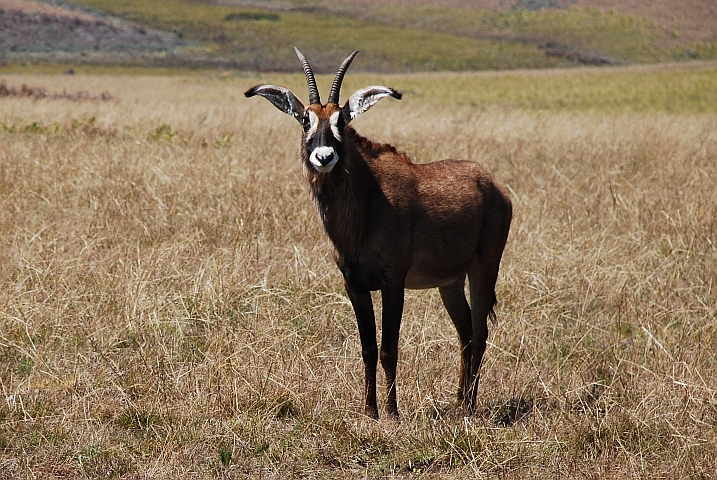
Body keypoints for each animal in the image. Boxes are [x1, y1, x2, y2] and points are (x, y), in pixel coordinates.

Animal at [243, 47, 512, 418]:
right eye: (305, 120)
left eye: (341, 121)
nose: (324, 156)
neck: (366, 204)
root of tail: (492, 185)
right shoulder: (354, 285)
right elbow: (368, 348)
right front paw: (370, 410)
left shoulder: (392, 281)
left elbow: (388, 348)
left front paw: (393, 412)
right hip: (450, 282)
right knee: (465, 332)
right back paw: (458, 401)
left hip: (484, 267)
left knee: (480, 330)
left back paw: (470, 406)